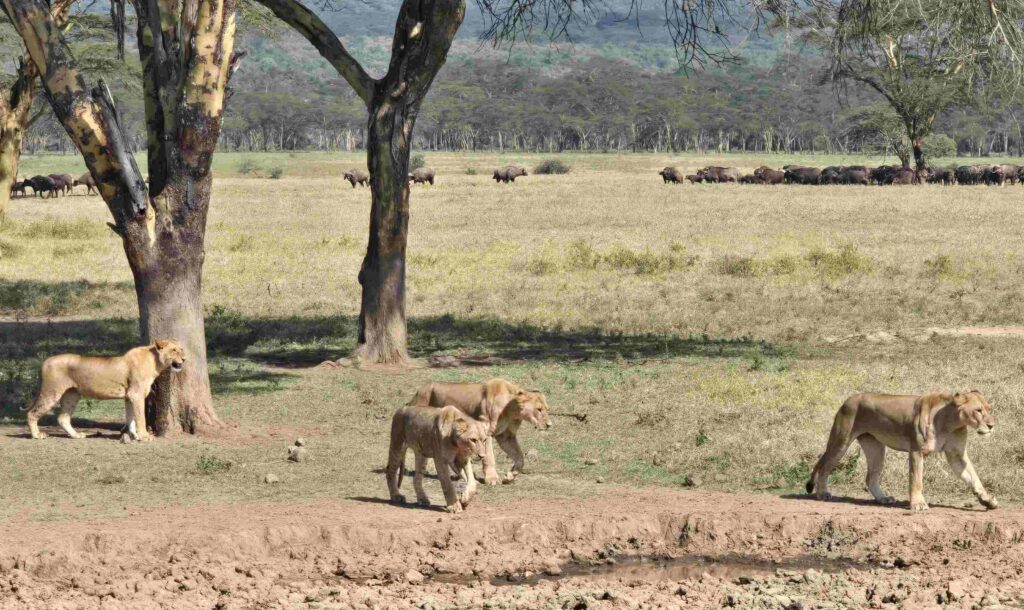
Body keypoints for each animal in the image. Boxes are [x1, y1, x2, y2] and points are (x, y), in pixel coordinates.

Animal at [24, 337, 187, 444]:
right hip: (51, 392)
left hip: (72, 395)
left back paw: (76, 435)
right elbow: (140, 418)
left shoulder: (129, 397)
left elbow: (131, 419)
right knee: (32, 413)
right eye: (174, 350)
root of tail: (45, 361)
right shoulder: (136, 395)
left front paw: (134, 436)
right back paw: (37, 435)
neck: (155, 361)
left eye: (181, 349)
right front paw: (145, 436)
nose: (185, 359)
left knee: (62, 418)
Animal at [407, 376, 552, 485]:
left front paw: (510, 476)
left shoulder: (506, 437)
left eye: (547, 409)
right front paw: (492, 478)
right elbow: (489, 456)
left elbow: (520, 458)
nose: (549, 425)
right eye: (539, 409)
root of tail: (418, 391)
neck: (511, 409)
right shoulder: (485, 430)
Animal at [802, 390, 995, 509]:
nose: (991, 425)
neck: (952, 422)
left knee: (870, 478)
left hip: (876, 448)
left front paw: (987, 500)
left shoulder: (957, 455)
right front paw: (918, 504)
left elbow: (973, 477)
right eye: (978, 410)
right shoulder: (917, 450)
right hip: (841, 441)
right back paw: (823, 493)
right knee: (824, 466)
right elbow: (916, 479)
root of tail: (848, 400)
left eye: (989, 409)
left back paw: (883, 498)